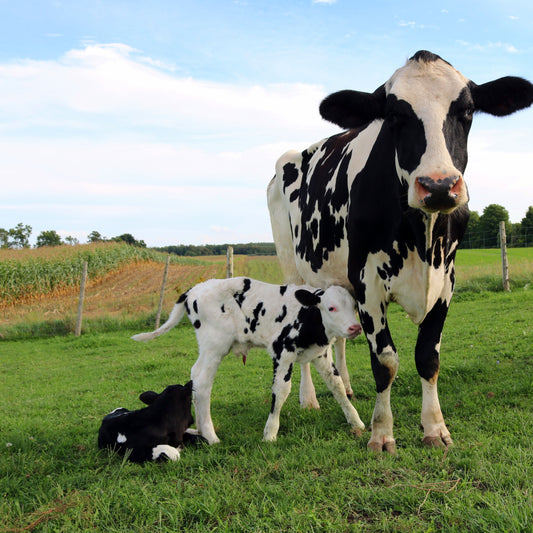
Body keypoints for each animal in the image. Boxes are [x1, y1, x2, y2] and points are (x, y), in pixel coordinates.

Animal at [132, 276, 366, 442]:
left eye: (353, 305)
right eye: (331, 307)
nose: (355, 327)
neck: (307, 316)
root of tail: (195, 289)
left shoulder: (321, 354)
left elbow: (337, 385)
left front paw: (356, 421)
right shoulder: (282, 351)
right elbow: (281, 390)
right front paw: (270, 433)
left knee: (195, 376)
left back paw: (200, 429)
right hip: (214, 346)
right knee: (202, 381)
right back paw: (210, 435)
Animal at [270, 50, 532, 450]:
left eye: (467, 111)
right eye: (394, 115)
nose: (438, 185)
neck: (420, 237)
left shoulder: (446, 280)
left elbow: (427, 357)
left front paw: (435, 428)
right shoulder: (368, 283)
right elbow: (386, 362)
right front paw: (381, 433)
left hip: (336, 281)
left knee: (339, 338)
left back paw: (346, 386)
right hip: (292, 267)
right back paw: (308, 398)